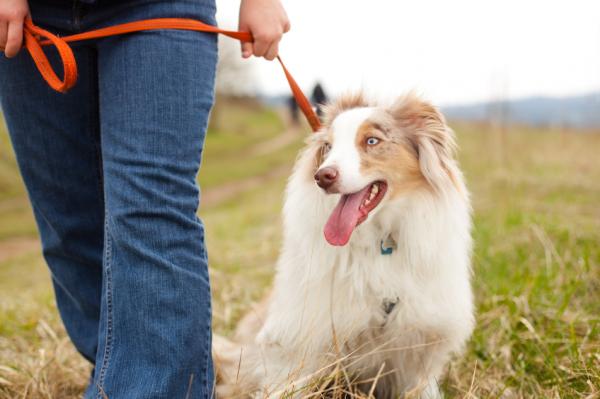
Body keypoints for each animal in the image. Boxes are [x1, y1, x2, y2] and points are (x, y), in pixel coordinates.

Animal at [213, 94, 476, 399]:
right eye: (328, 147)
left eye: (372, 141)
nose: (322, 176)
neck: (377, 241)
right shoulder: (300, 340)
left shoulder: (417, 346)